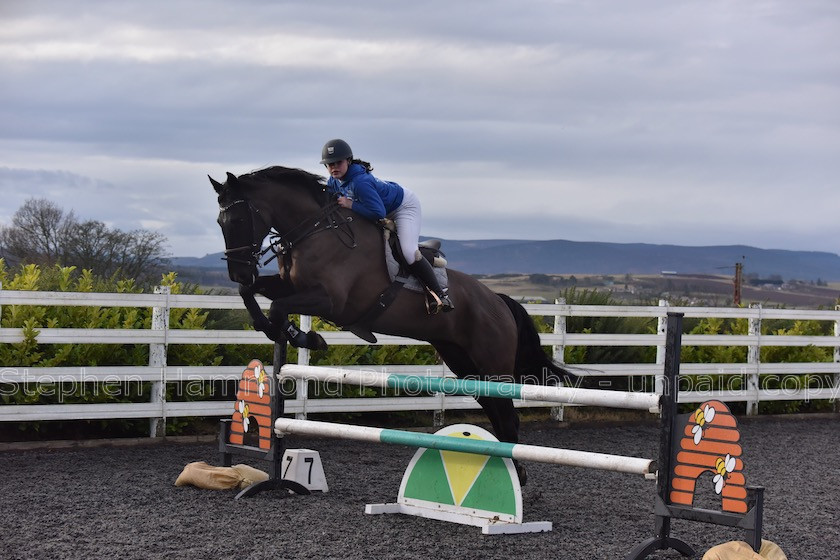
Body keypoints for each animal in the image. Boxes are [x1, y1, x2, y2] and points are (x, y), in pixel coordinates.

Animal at [212, 166, 576, 476]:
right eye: (220, 221)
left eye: (240, 219)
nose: (238, 271)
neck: (314, 231)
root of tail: (498, 300)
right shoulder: (289, 286)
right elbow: (251, 293)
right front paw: (276, 328)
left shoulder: (332, 302)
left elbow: (278, 307)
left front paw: (302, 336)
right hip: (465, 364)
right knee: (495, 411)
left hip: (494, 366)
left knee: (508, 415)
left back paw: (518, 474)